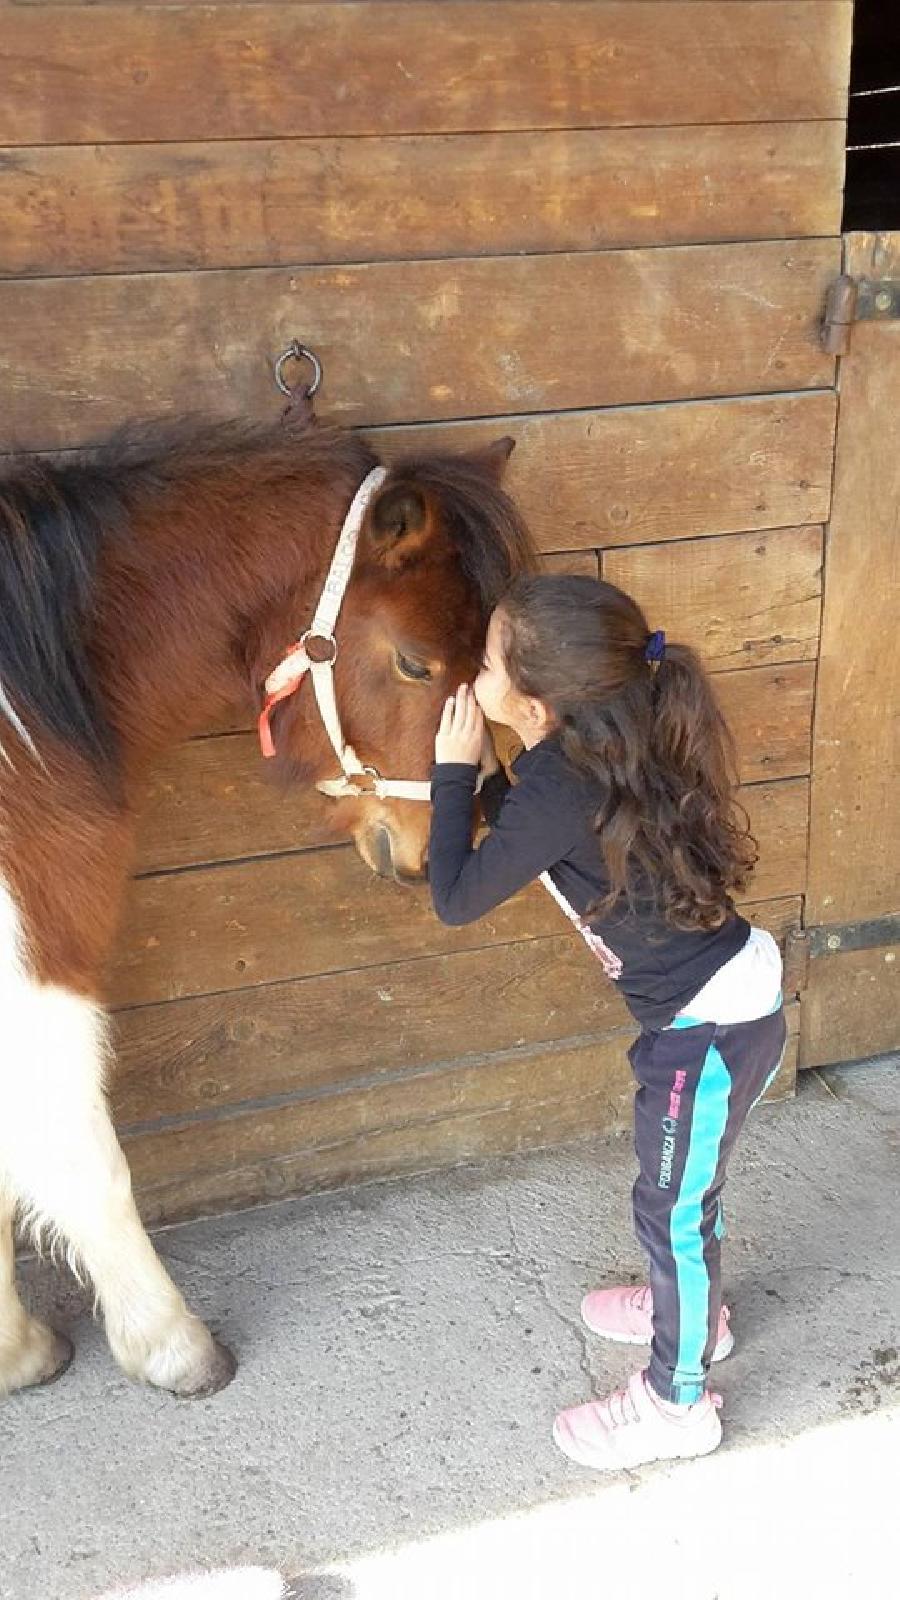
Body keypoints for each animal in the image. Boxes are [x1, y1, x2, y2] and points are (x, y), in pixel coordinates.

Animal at [0, 412, 531, 1401]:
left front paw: (12, 1346)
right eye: (415, 662)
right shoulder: (38, 961)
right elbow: (88, 1162)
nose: (450, 837)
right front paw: (168, 1345)